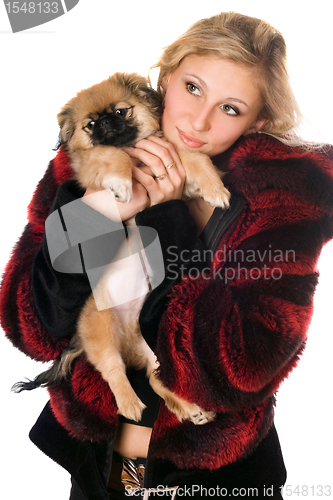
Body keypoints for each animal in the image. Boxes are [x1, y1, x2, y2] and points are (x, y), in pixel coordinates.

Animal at [13, 73, 230, 426]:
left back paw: (193, 410)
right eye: (90, 125)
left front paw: (216, 189)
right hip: (102, 335)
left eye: (119, 112)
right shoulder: (96, 165)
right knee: (115, 372)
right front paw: (124, 184)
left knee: (159, 382)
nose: (104, 123)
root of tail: (129, 337)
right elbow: (117, 157)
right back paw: (130, 404)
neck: (130, 144)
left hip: (155, 354)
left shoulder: (170, 157)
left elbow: (194, 156)